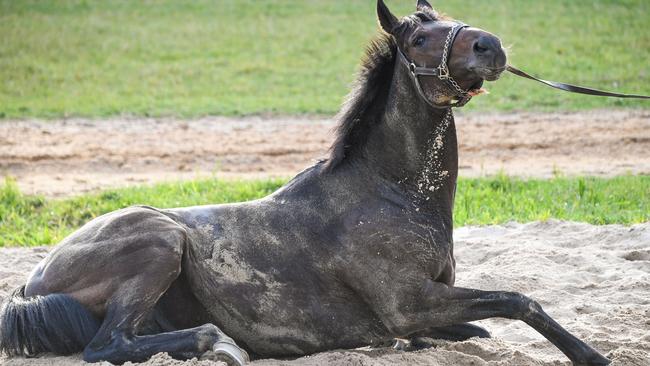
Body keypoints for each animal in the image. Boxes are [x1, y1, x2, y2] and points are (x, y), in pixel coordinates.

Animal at [0, 1, 608, 364]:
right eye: (418, 40)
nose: (491, 47)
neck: (390, 195)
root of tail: (31, 285)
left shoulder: (425, 308)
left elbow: (479, 322)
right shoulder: (409, 304)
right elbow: (518, 300)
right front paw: (589, 355)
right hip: (160, 242)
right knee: (107, 344)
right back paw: (216, 341)